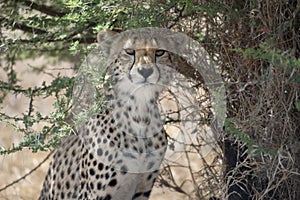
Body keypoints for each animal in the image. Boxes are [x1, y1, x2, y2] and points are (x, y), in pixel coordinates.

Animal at [39, 28, 190, 200]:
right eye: (129, 51)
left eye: (160, 52)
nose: (146, 71)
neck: (140, 113)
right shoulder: (93, 194)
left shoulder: (142, 190)